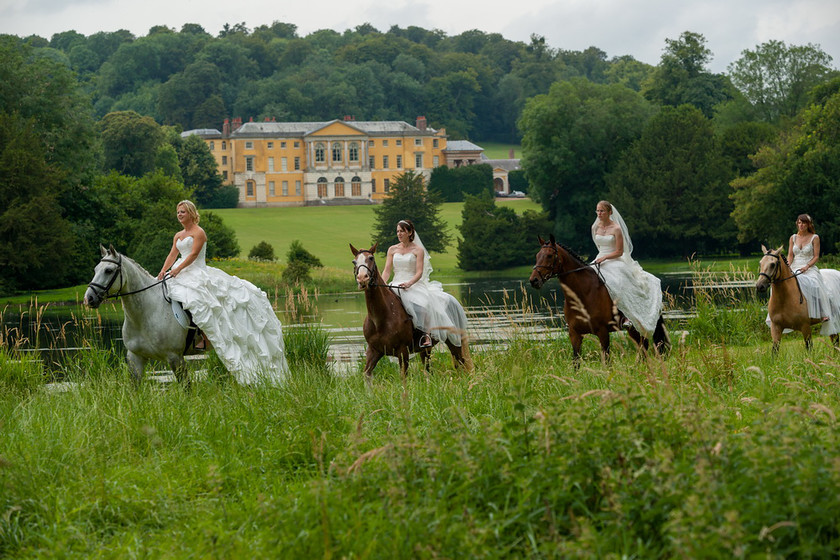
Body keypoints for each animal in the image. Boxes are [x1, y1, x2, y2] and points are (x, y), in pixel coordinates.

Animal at [83, 245, 199, 384]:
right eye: (95, 270)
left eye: (108, 270)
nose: (88, 298)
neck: (145, 315)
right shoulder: (135, 357)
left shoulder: (175, 357)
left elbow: (186, 386)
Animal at [348, 243, 472, 378]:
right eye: (354, 261)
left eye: (371, 258)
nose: (362, 279)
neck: (380, 319)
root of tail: (452, 300)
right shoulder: (374, 351)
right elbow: (367, 373)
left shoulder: (403, 351)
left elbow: (403, 376)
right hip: (426, 349)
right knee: (429, 368)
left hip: (454, 341)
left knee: (460, 362)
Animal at [528, 234, 672, 366]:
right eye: (537, 256)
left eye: (549, 256)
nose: (534, 280)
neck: (583, 294)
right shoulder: (574, 333)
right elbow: (576, 362)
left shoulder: (603, 332)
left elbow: (607, 361)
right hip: (634, 329)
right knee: (643, 346)